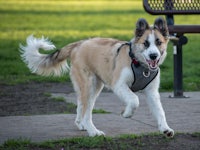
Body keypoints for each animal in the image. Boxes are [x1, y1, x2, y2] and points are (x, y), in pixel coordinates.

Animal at [19, 17, 173, 138]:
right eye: (145, 43)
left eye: (159, 42)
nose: (153, 56)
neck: (140, 64)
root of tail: (79, 44)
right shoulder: (119, 85)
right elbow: (134, 99)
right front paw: (127, 113)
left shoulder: (152, 93)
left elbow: (160, 112)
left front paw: (165, 129)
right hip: (89, 86)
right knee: (87, 112)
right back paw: (93, 131)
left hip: (93, 87)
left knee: (80, 105)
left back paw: (81, 125)